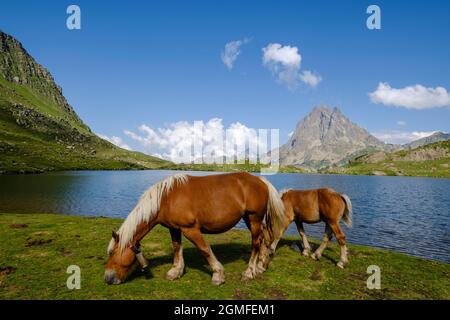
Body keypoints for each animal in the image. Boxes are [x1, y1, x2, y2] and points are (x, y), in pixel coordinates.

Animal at [103, 172, 284, 284]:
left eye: (112, 253)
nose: (107, 278)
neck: (166, 198)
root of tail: (260, 180)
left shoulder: (190, 229)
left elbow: (204, 249)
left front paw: (218, 274)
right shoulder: (174, 228)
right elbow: (177, 248)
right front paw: (176, 271)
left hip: (254, 218)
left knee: (256, 243)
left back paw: (249, 272)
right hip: (250, 219)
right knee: (263, 239)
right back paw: (261, 266)